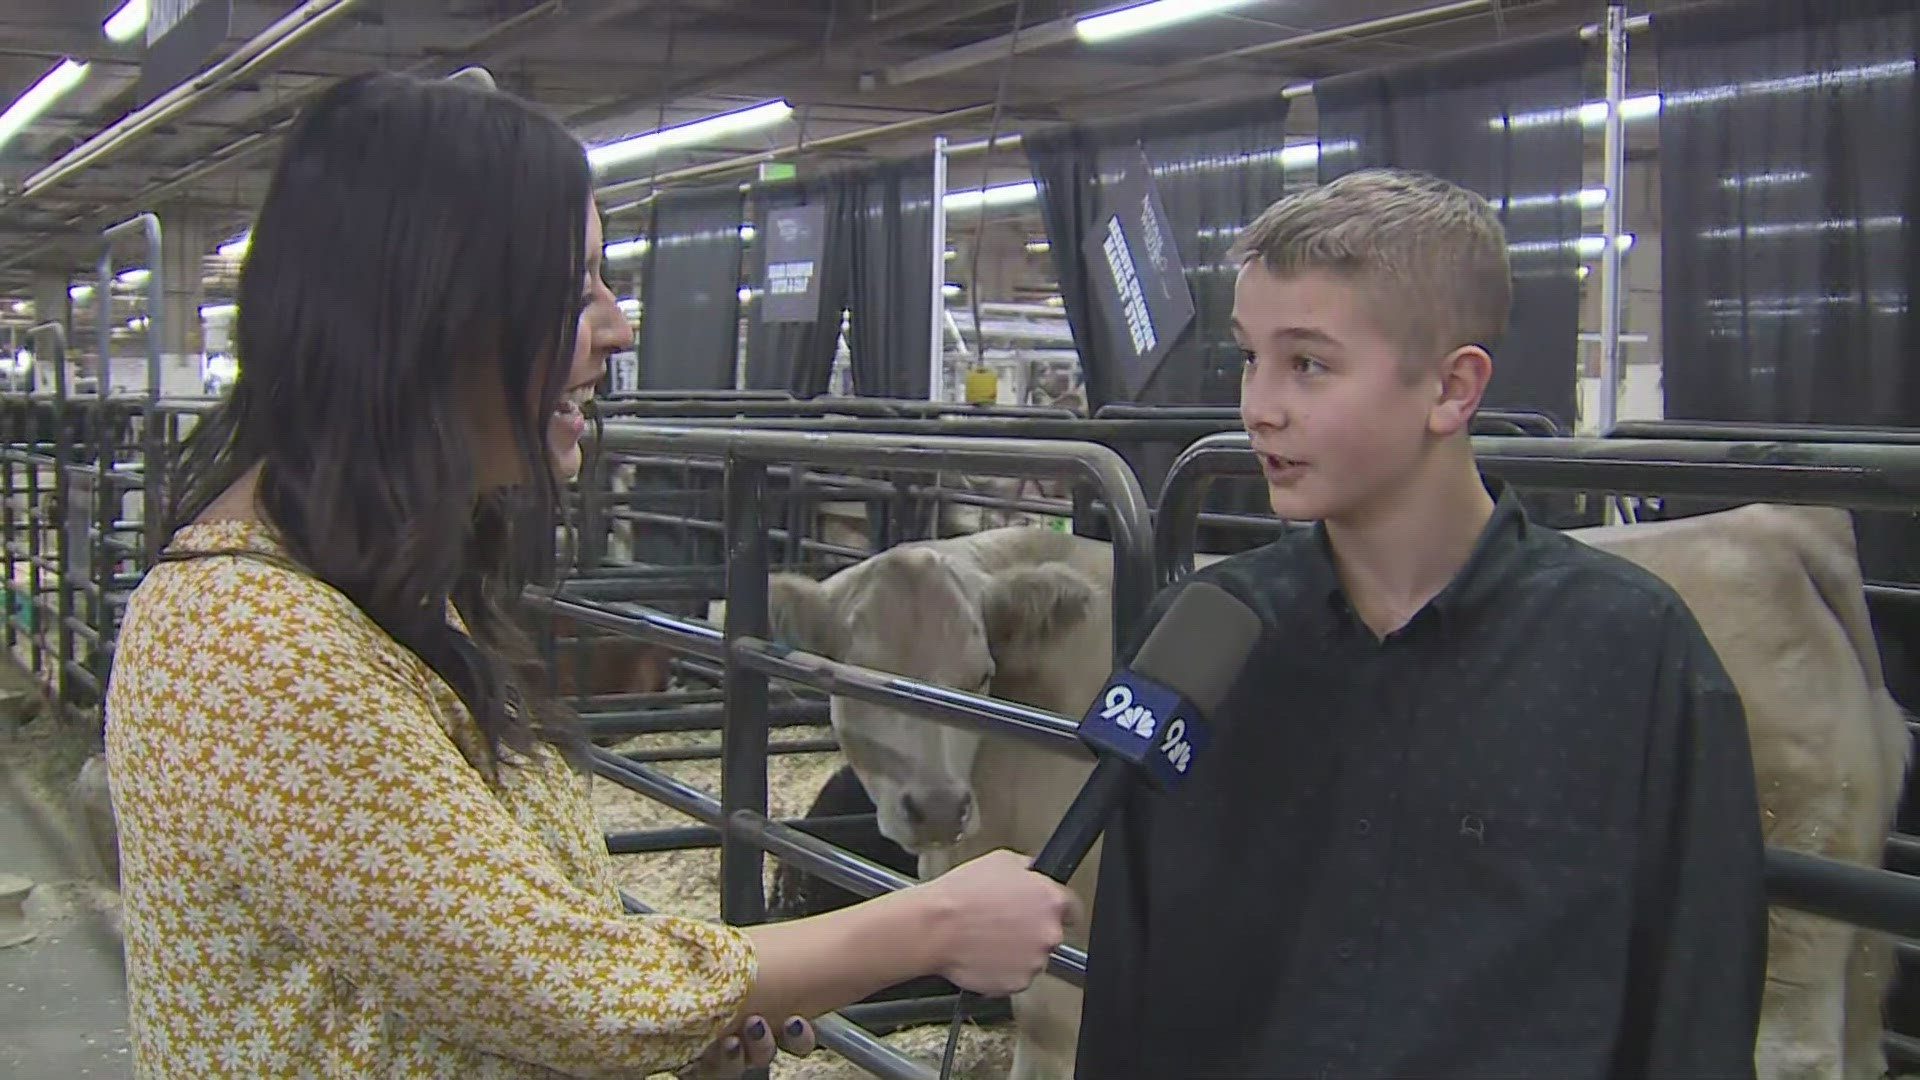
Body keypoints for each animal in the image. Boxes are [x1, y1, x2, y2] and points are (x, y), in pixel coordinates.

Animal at [760, 507, 1904, 1076]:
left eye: (977, 669)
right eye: (843, 674)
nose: (933, 808)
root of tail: (1773, 530)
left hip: (1789, 914)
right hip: (1853, 909)